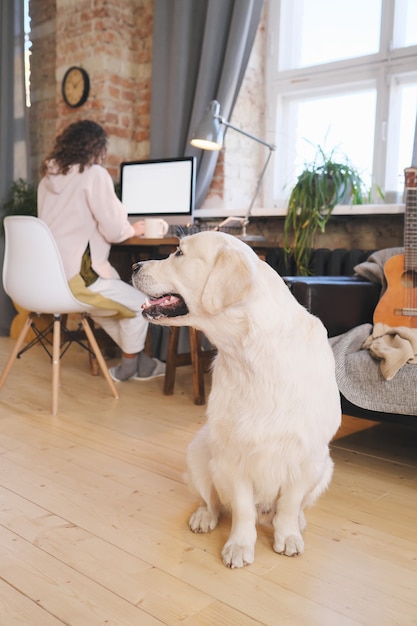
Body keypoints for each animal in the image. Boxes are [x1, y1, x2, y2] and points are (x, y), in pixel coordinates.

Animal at [133, 232, 342, 568]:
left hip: (325, 467)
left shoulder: (306, 454)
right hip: (200, 452)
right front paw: (240, 545)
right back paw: (204, 516)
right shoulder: (233, 454)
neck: (252, 352)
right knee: (211, 500)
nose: (134, 265)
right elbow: (242, 510)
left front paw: (287, 535)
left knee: (291, 506)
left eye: (179, 253)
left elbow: (289, 503)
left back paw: (297, 522)